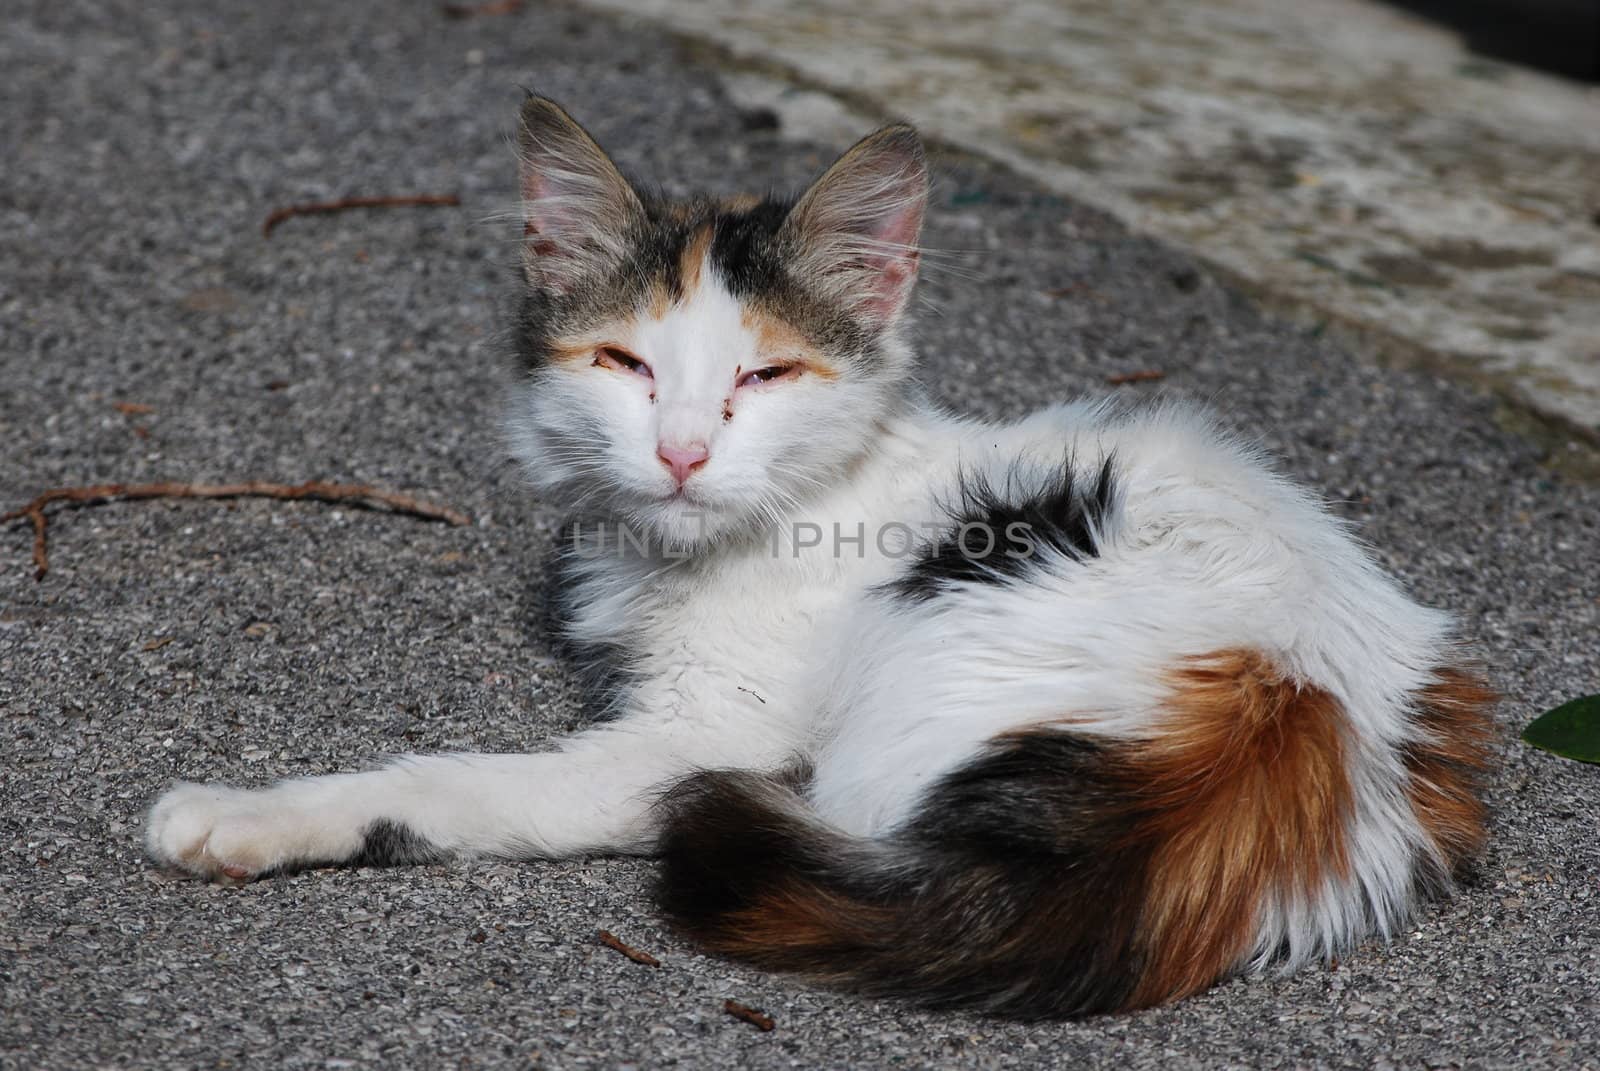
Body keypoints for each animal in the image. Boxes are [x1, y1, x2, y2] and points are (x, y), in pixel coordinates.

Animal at [144, 98, 1491, 1018]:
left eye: (766, 375)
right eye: (626, 366)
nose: (682, 450)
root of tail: (1291, 704)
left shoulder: (703, 736)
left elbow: (448, 783)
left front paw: (248, 815)